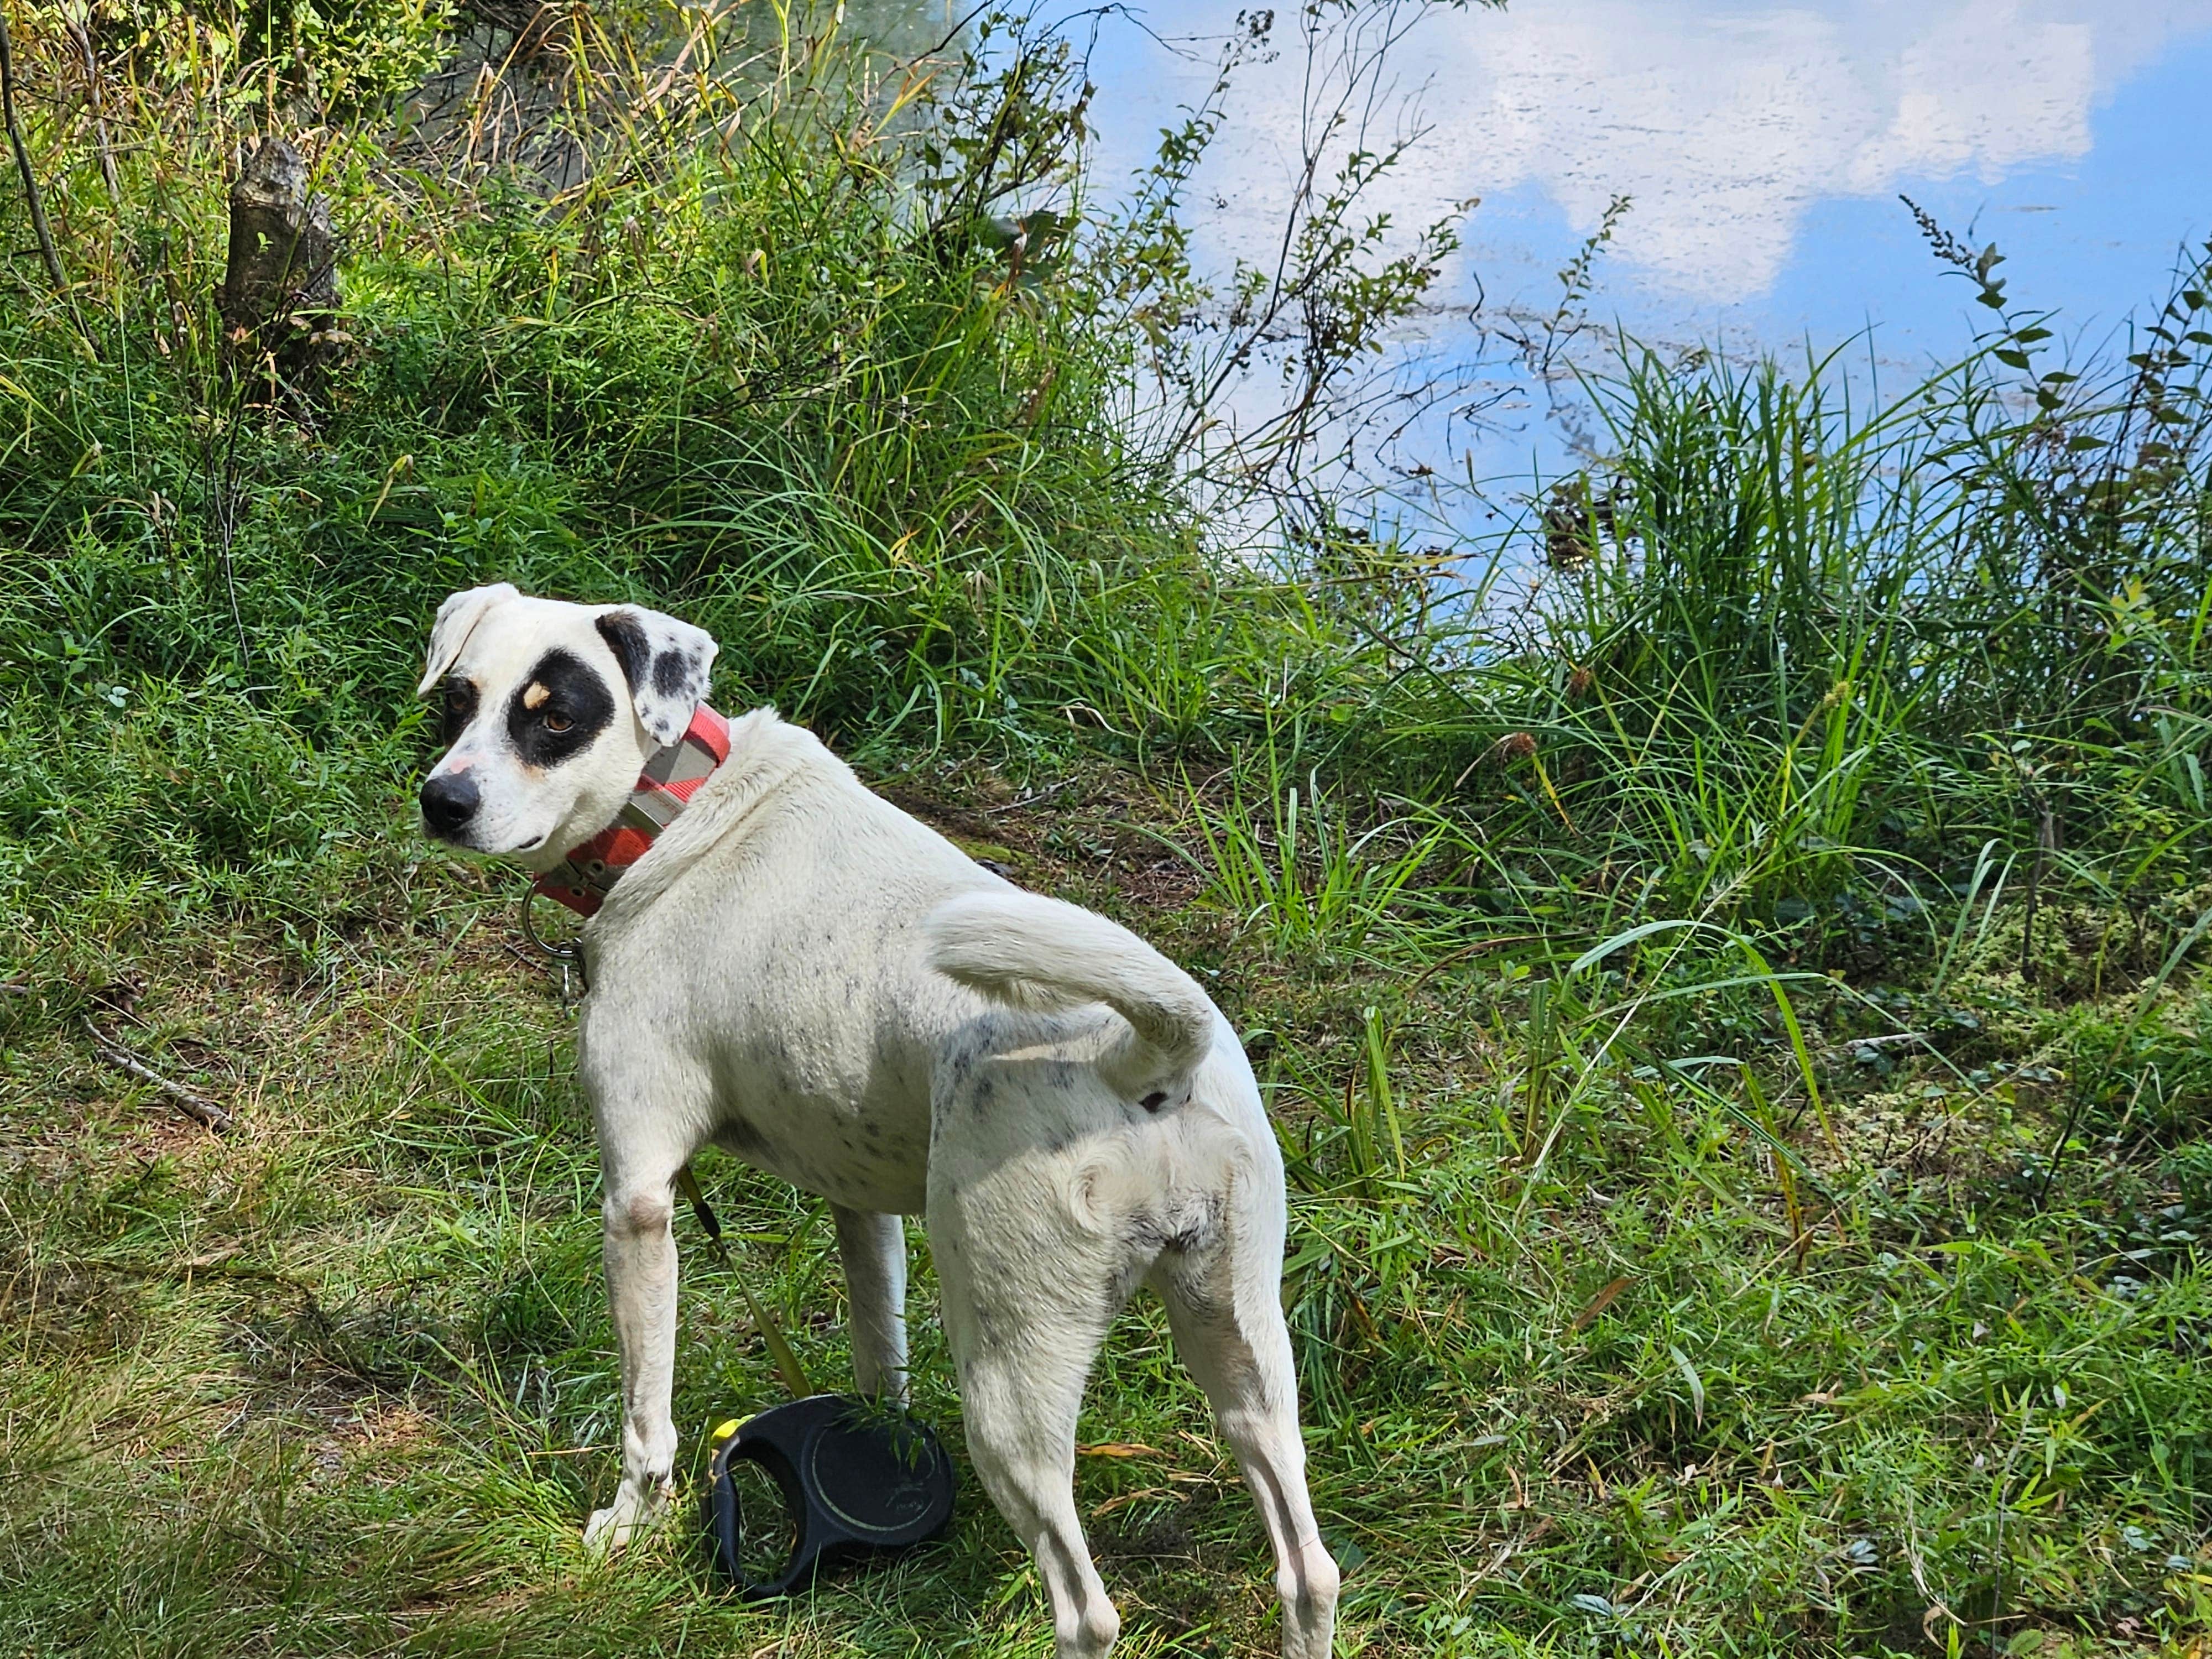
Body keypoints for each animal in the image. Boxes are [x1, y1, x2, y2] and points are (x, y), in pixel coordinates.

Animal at [418, 588, 1345, 1659]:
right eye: (456, 701)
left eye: (556, 718)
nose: (441, 800)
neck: (681, 817)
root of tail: (1141, 1052)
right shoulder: (860, 1205)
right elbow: (880, 1360)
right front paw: (878, 1468)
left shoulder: (639, 1202)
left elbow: (647, 1420)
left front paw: (626, 1524)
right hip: (1244, 1347)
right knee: (1307, 1570)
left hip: (1011, 1374)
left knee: (1087, 1609)